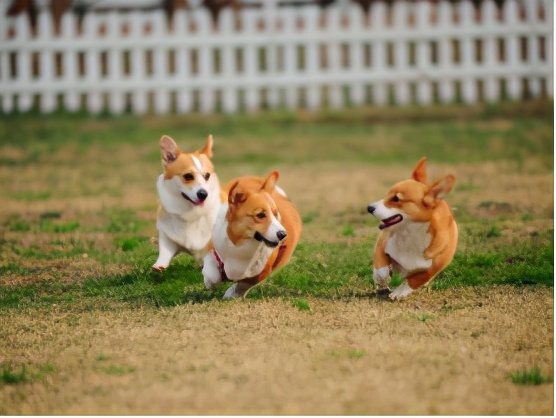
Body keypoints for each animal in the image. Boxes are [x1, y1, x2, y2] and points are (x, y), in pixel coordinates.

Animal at [152, 134, 224, 272]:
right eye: (188, 176)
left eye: (207, 175)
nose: (203, 194)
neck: (190, 212)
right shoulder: (167, 234)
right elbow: (165, 249)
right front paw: (159, 265)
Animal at [364, 158, 456, 300]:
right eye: (387, 195)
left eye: (396, 199)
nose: (369, 208)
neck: (409, 233)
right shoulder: (383, 242)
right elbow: (380, 266)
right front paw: (383, 277)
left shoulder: (434, 268)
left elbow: (416, 280)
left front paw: (399, 292)